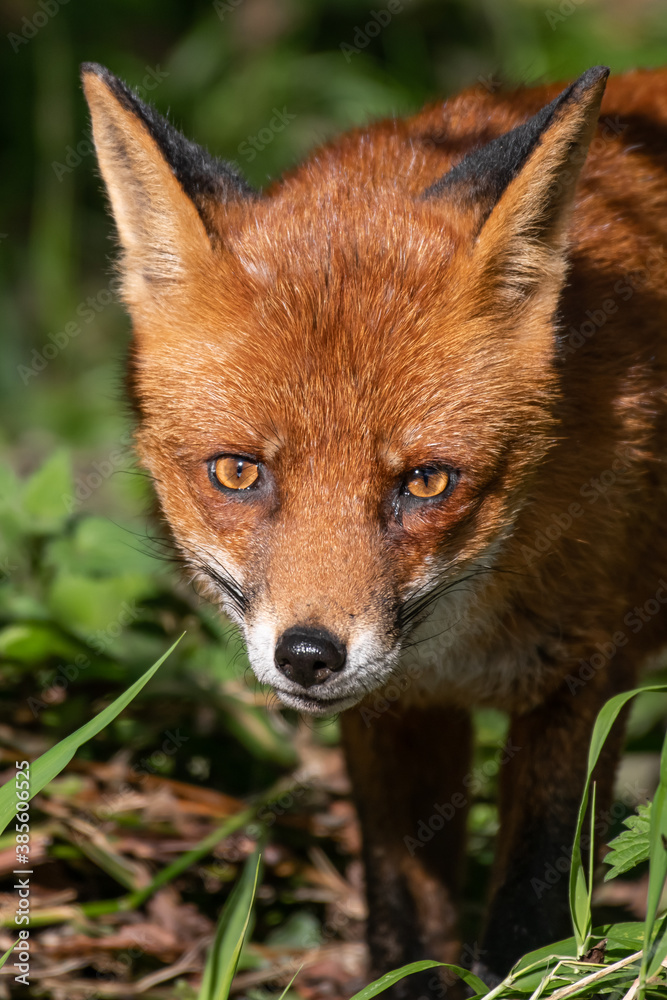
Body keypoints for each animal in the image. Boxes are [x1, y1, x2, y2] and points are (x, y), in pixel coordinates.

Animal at [81, 62, 667, 992]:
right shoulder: (398, 709)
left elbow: (527, 915)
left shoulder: (587, 671)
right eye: (237, 472)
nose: (309, 656)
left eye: (425, 482)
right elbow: (404, 922)